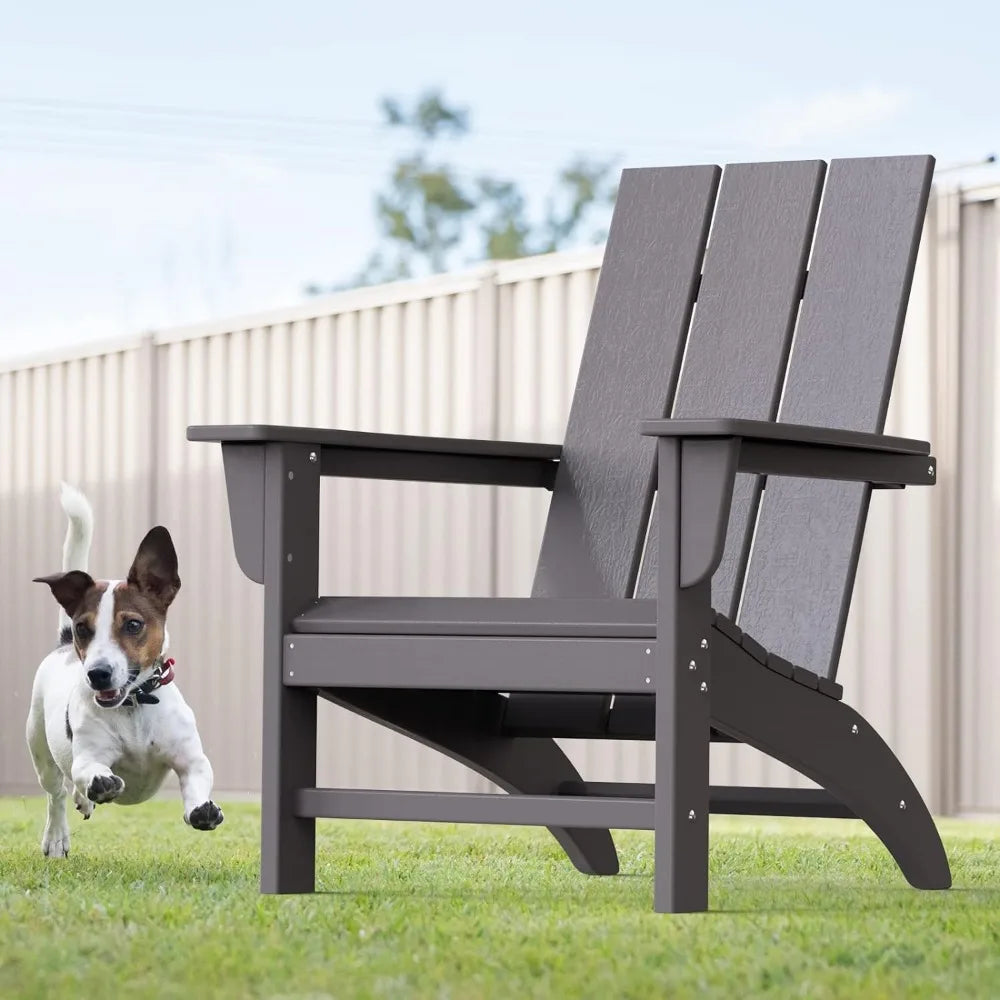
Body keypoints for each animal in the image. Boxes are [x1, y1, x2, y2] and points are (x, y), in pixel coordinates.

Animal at [25, 480, 223, 856]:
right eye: (83, 628)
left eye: (133, 625)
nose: (97, 674)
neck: (134, 704)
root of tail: (62, 645)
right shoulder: (88, 756)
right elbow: (88, 771)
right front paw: (99, 784)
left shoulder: (191, 759)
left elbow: (197, 780)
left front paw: (201, 809)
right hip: (40, 749)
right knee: (56, 793)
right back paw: (57, 836)